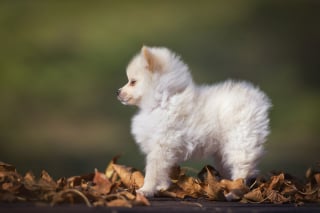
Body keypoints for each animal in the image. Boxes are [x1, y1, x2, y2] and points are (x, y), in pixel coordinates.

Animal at [116, 45, 272, 197]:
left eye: (133, 82)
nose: (117, 92)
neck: (163, 101)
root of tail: (256, 97)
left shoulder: (161, 146)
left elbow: (153, 171)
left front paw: (146, 190)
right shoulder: (164, 149)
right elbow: (164, 171)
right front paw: (162, 187)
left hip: (240, 142)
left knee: (242, 170)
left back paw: (234, 192)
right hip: (223, 151)